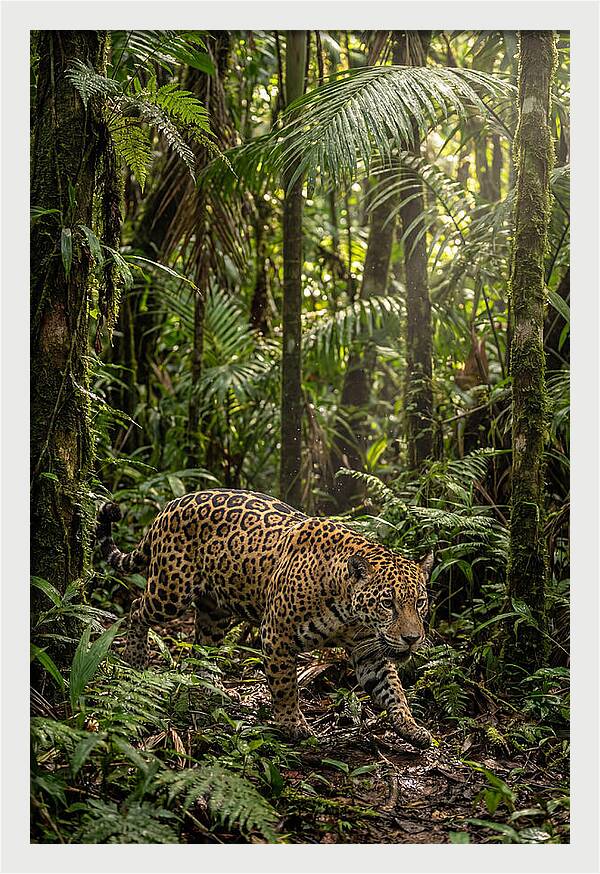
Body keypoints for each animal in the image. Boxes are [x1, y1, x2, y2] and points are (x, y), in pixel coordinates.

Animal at [96, 488, 434, 748]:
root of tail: (170, 505)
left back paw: (211, 686)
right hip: (171, 591)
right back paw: (136, 657)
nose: (412, 639)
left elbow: (392, 689)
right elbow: (285, 685)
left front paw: (412, 728)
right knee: (136, 608)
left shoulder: (369, 652)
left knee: (203, 644)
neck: (348, 611)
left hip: (215, 611)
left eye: (419, 603)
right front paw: (292, 725)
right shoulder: (277, 635)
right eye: (388, 603)